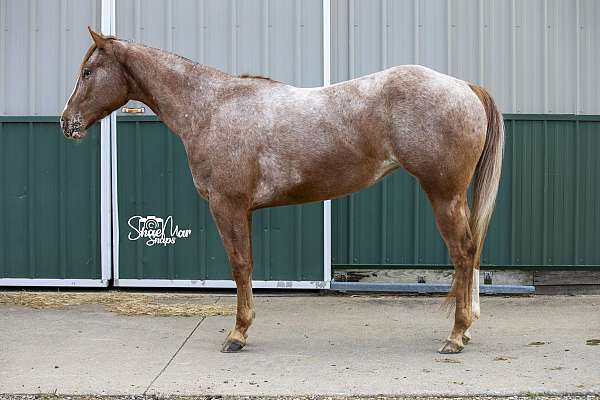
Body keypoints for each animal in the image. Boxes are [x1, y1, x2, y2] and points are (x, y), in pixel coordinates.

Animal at [61, 28, 502, 354]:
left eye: (88, 72)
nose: (67, 122)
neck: (212, 107)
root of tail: (464, 86)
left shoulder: (228, 206)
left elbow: (240, 266)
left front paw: (237, 335)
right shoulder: (243, 210)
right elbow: (247, 265)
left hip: (443, 194)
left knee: (463, 253)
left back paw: (455, 336)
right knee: (471, 251)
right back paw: (466, 330)